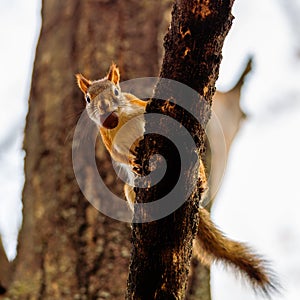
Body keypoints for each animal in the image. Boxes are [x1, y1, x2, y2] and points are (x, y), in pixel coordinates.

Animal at [76, 62, 278, 296]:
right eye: (88, 99)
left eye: (116, 91)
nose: (104, 106)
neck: (118, 120)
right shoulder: (107, 139)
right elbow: (118, 156)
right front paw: (132, 160)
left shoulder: (139, 106)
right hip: (130, 189)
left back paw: (200, 180)